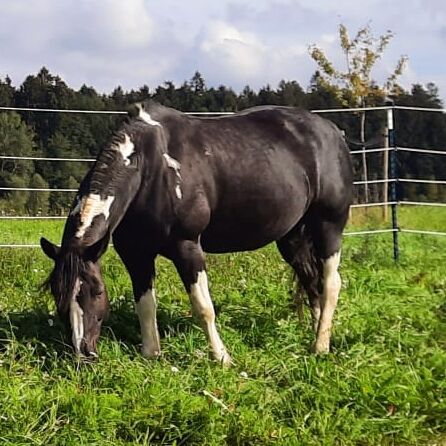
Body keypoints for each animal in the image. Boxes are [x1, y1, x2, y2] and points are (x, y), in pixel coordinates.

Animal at [40, 103, 354, 364]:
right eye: (58, 293)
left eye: (97, 291)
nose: (83, 354)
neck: (149, 168)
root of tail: (332, 131)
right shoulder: (135, 255)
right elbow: (145, 305)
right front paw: (151, 355)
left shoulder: (187, 247)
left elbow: (203, 307)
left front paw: (222, 358)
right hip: (291, 236)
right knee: (311, 280)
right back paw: (317, 331)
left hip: (329, 226)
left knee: (330, 283)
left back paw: (320, 347)